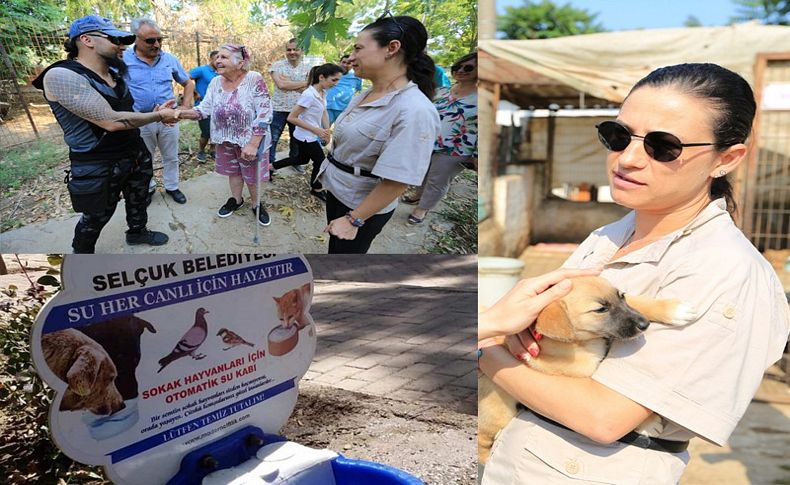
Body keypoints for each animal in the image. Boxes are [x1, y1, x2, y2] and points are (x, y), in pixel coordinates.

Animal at [476, 274, 692, 464]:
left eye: (621, 295)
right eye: (600, 309)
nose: (644, 324)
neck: (581, 342)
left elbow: (638, 301)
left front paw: (673, 309)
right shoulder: (576, 368)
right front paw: (649, 423)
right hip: (498, 410)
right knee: (482, 443)